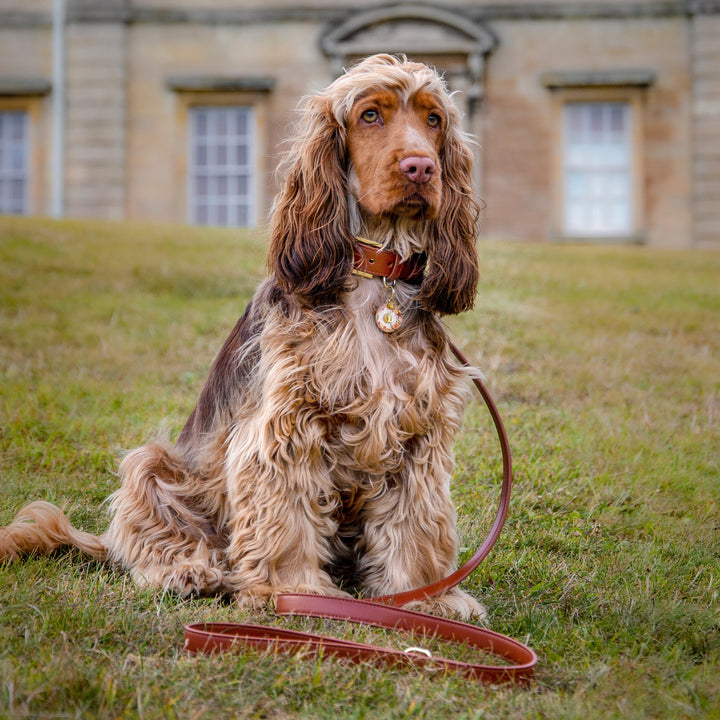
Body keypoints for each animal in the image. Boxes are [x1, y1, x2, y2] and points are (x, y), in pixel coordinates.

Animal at [0, 54, 486, 620]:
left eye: (434, 120)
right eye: (370, 115)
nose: (421, 168)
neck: (376, 277)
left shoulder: (417, 433)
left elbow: (415, 525)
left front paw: (427, 597)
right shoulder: (287, 427)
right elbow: (287, 520)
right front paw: (297, 592)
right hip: (155, 464)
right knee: (150, 541)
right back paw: (189, 572)